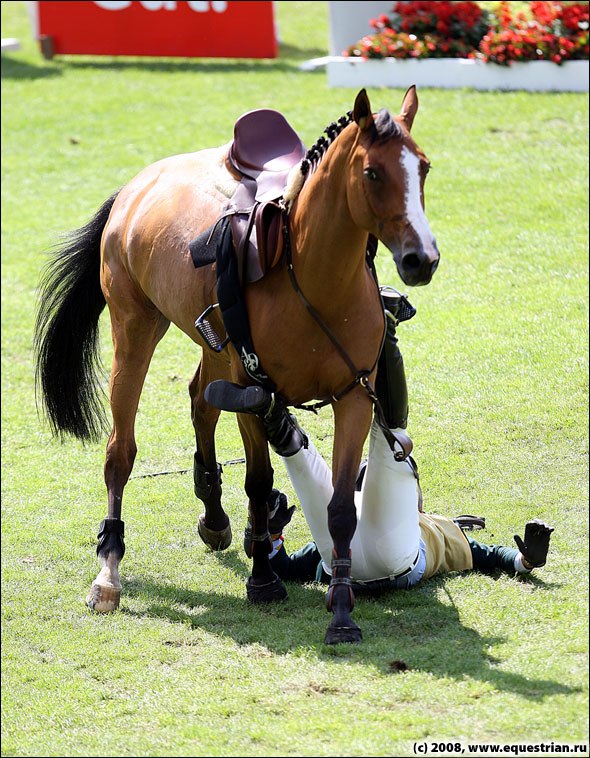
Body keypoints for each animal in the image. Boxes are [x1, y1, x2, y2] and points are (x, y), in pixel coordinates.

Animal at [33, 89, 440, 648]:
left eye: (423, 167)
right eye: (373, 173)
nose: (423, 259)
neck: (312, 278)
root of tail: (140, 183)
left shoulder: (355, 396)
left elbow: (339, 507)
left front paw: (340, 610)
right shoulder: (252, 389)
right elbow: (259, 478)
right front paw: (264, 580)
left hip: (210, 342)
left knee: (199, 400)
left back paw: (218, 515)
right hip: (135, 328)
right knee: (121, 452)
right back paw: (109, 571)